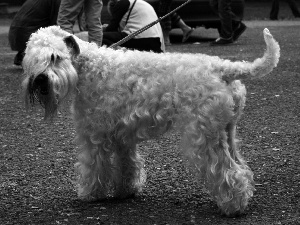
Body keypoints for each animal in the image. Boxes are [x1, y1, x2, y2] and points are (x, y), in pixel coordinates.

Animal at [22, 25, 280, 216]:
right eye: (31, 60)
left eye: (55, 57)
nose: (40, 80)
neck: (90, 68)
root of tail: (223, 68)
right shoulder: (121, 135)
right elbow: (127, 164)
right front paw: (126, 190)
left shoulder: (93, 135)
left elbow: (93, 166)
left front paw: (89, 193)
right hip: (227, 131)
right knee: (241, 167)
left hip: (204, 137)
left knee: (228, 171)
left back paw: (232, 207)